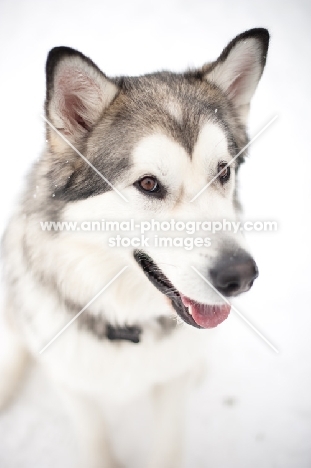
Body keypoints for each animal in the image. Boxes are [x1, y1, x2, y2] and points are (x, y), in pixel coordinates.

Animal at [0, 28, 268, 464]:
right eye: (148, 184)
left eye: (223, 171)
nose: (240, 276)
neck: (127, 322)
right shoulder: (74, 386)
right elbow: (94, 439)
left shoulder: (171, 384)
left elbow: (169, 442)